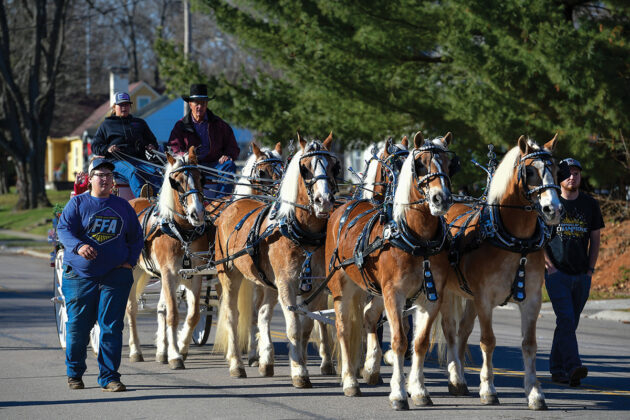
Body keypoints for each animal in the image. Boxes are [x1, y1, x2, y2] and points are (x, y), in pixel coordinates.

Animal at [126, 146, 207, 370]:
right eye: (176, 181)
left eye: (200, 177)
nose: (197, 214)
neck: (181, 231)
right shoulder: (169, 273)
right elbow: (173, 314)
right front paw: (176, 356)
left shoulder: (194, 274)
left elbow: (193, 314)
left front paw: (181, 347)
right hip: (132, 272)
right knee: (131, 309)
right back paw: (135, 351)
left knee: (160, 308)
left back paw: (161, 351)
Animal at [214, 131, 344, 388]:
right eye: (305, 168)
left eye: (333, 167)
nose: (324, 201)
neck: (302, 231)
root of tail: (231, 206)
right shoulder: (287, 283)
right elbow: (293, 326)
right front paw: (299, 372)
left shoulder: (315, 284)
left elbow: (307, 327)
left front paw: (300, 361)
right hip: (230, 274)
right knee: (233, 316)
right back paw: (237, 365)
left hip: (267, 282)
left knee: (263, 313)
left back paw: (266, 362)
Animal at [326, 132, 460, 410]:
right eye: (420, 164)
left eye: (449, 163)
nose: (441, 199)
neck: (418, 239)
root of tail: (343, 207)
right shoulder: (394, 294)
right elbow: (399, 341)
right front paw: (398, 393)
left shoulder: (430, 296)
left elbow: (420, 342)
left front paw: (419, 390)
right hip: (342, 287)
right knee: (344, 329)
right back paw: (350, 381)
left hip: (376, 291)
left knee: (368, 317)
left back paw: (370, 370)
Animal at [440, 135, 564, 410]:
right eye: (530, 171)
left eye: (557, 170)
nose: (553, 209)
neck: (517, 243)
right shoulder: (485, 299)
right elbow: (488, 341)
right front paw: (488, 389)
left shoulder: (531, 300)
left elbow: (529, 344)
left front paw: (535, 392)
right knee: (449, 330)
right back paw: (454, 377)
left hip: (467, 296)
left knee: (463, 331)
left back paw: (460, 379)